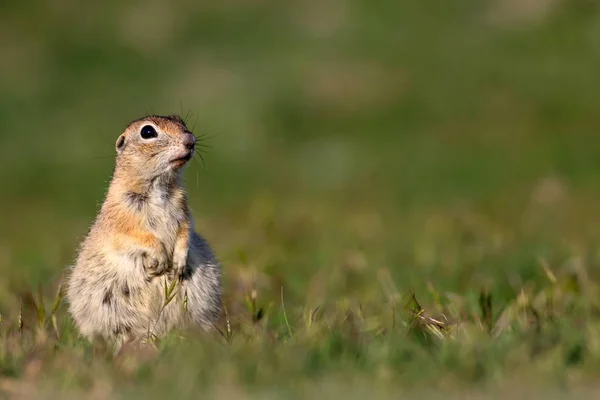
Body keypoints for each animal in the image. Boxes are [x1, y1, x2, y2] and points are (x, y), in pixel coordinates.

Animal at [66, 114, 220, 346]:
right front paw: (161, 259)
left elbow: (185, 231)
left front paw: (178, 262)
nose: (191, 140)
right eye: (148, 132)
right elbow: (136, 237)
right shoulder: (121, 219)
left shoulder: (184, 211)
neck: (159, 185)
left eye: (181, 122)